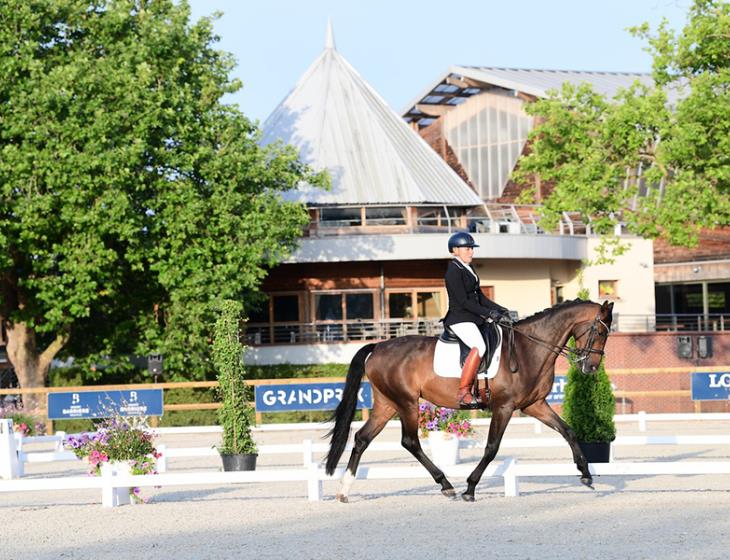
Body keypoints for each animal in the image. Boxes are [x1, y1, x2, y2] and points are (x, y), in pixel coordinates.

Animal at [322, 300, 612, 500]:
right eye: (600, 332)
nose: (591, 368)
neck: (528, 350)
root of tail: (378, 346)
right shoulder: (504, 407)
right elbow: (492, 447)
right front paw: (470, 488)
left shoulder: (534, 405)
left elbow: (568, 431)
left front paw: (586, 474)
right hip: (406, 403)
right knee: (409, 441)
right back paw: (447, 485)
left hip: (387, 404)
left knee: (362, 438)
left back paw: (344, 490)